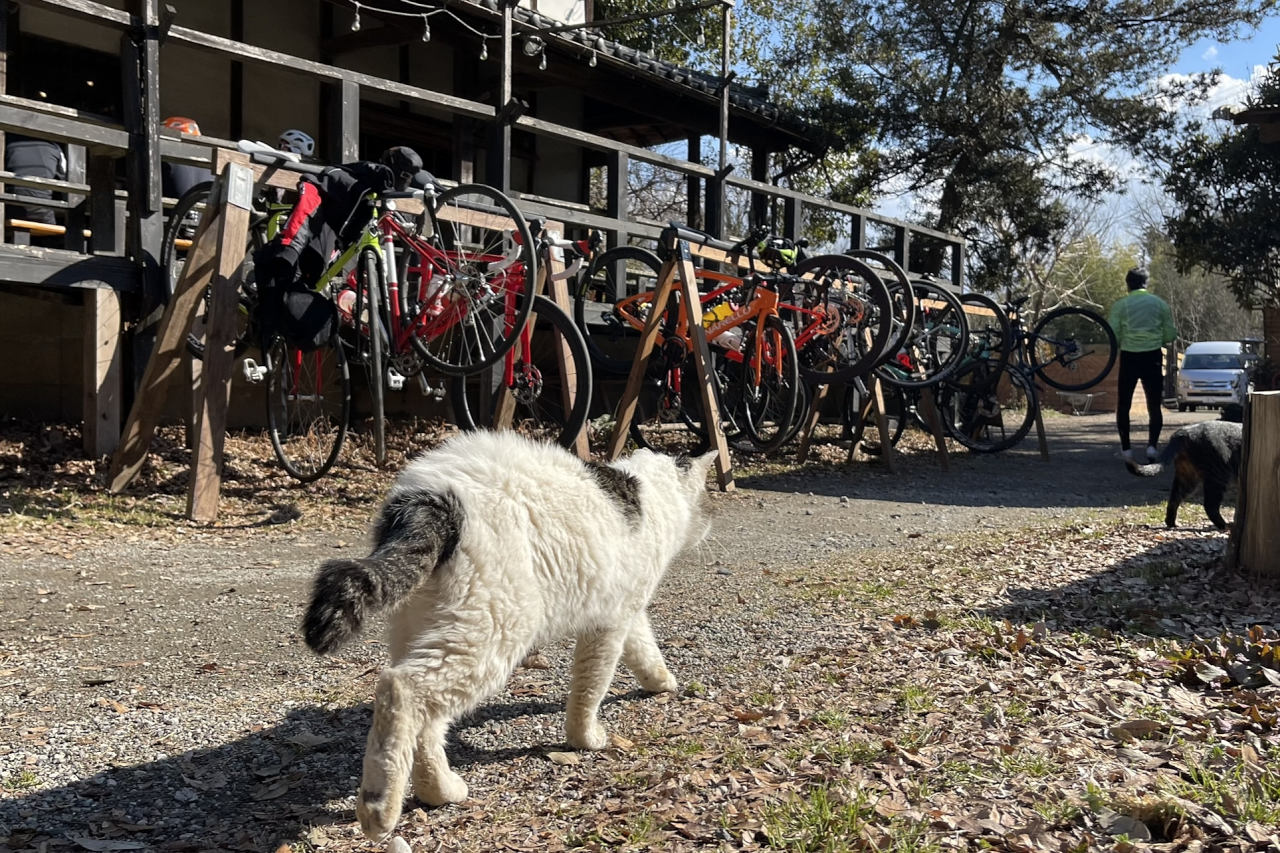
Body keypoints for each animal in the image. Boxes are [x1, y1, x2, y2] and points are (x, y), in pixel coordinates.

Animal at [303, 432, 716, 835]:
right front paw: (585, 737)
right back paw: (379, 807)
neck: (648, 491)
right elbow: (592, 685)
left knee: (426, 721)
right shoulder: (608, 622)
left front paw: (660, 680)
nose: (707, 526)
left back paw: (439, 790)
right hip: (493, 629)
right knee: (400, 688)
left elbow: (643, 648)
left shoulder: (626, 612)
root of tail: (429, 495)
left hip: (424, 629)